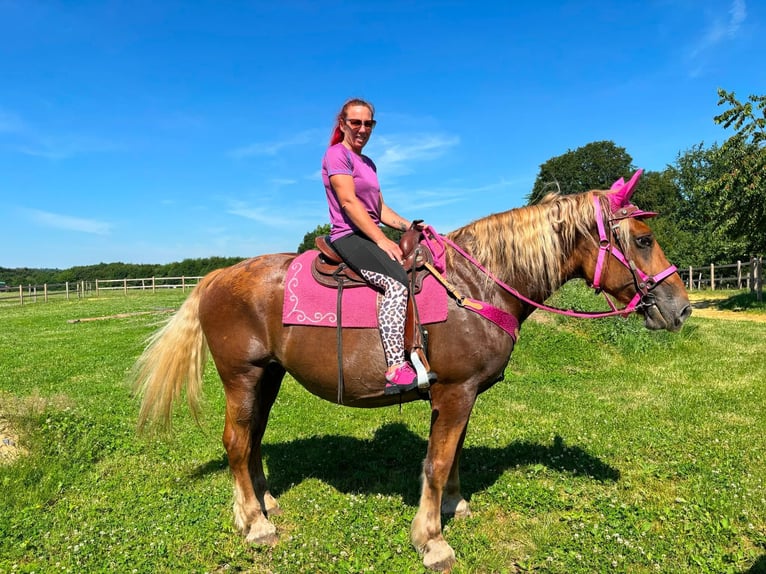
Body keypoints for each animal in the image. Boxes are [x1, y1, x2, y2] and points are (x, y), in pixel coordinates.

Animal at [131, 171, 691, 572]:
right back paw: (254, 525)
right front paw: (432, 541)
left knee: (251, 440)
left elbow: (454, 454)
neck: (477, 285)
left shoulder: (463, 395)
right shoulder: (454, 393)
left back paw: (264, 503)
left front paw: (453, 507)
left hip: (267, 376)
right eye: (643, 239)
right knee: (234, 441)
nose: (681, 308)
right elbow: (437, 463)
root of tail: (215, 277)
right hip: (242, 375)